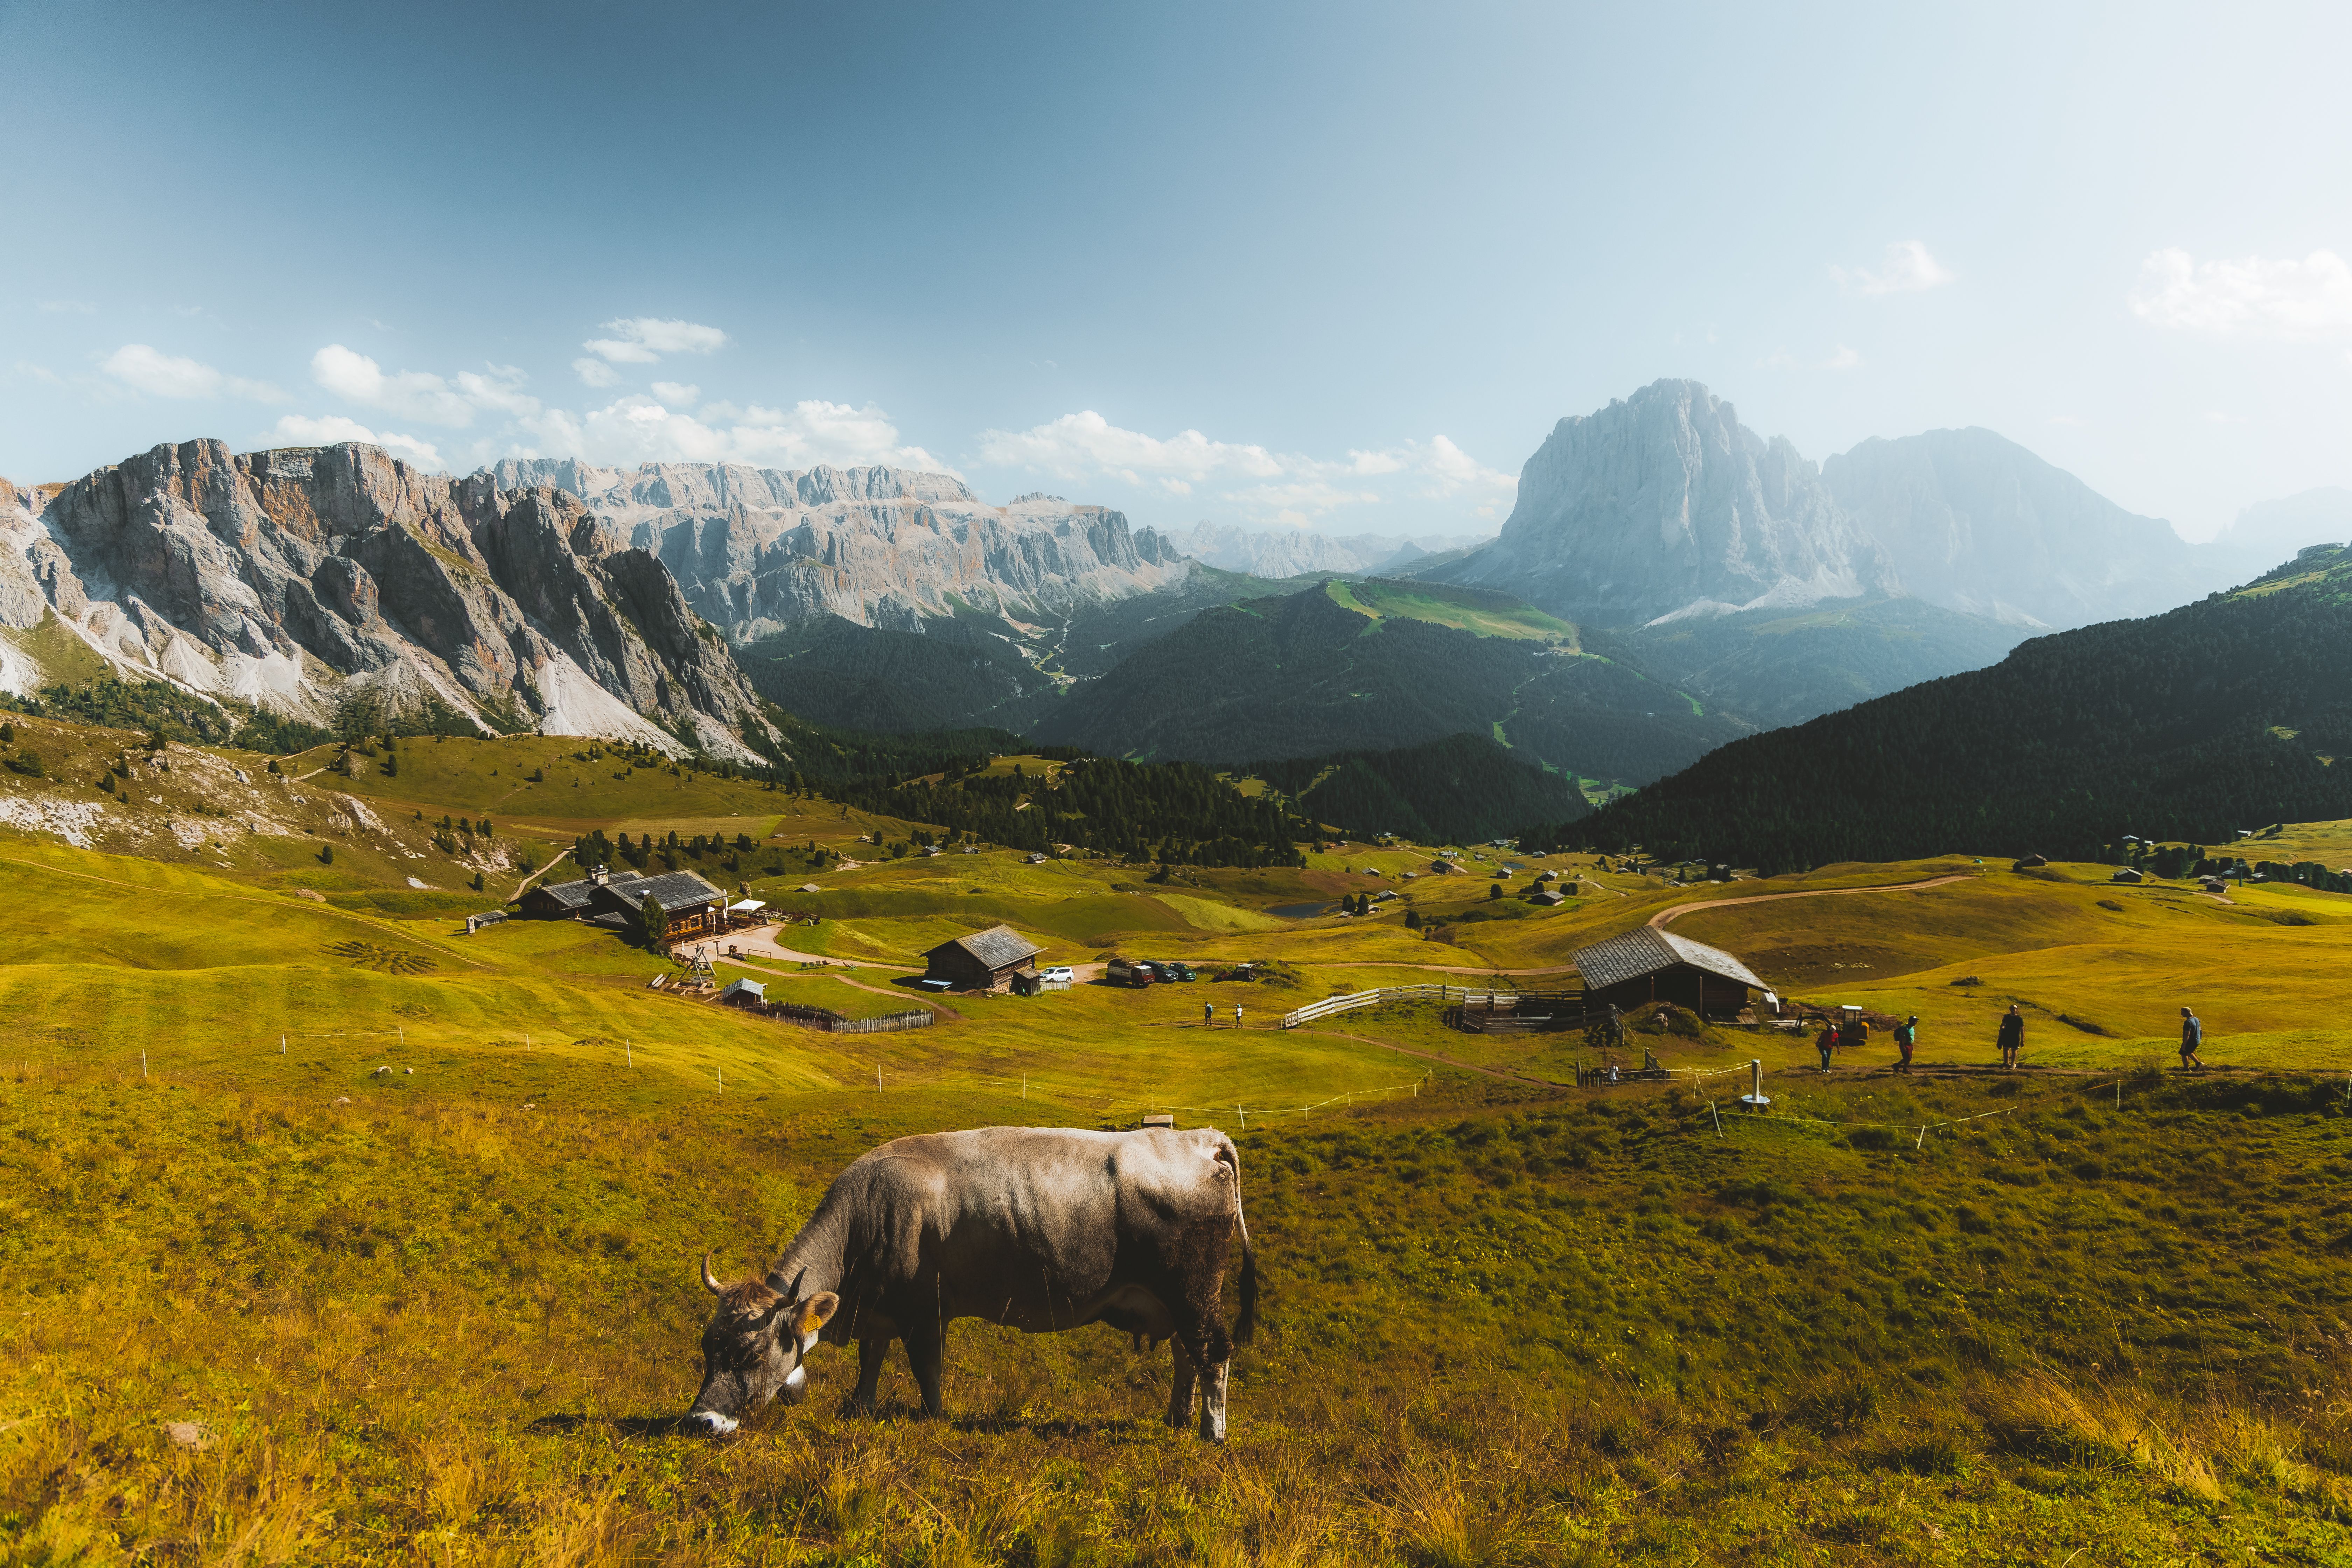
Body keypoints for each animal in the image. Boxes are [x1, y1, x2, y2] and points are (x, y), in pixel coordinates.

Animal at [686, 1125, 1258, 1441]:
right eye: (707, 1348)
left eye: (752, 1354)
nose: (700, 1422)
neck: (868, 1213)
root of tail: (1201, 1141)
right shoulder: (880, 1310)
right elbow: (871, 1362)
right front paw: (861, 1407)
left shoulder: (925, 1313)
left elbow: (928, 1373)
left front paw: (933, 1418)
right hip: (1174, 1302)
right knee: (1188, 1355)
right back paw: (1177, 1418)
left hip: (1193, 1291)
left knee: (1215, 1352)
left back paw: (1212, 1431)